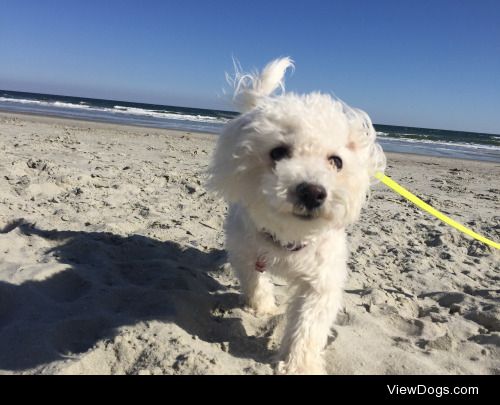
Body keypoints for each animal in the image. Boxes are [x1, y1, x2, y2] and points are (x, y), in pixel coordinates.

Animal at [207, 58, 386, 374]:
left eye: (336, 161)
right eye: (278, 152)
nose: (313, 192)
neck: (288, 237)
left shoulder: (320, 283)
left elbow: (309, 326)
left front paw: (299, 364)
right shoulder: (245, 253)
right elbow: (255, 283)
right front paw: (263, 307)